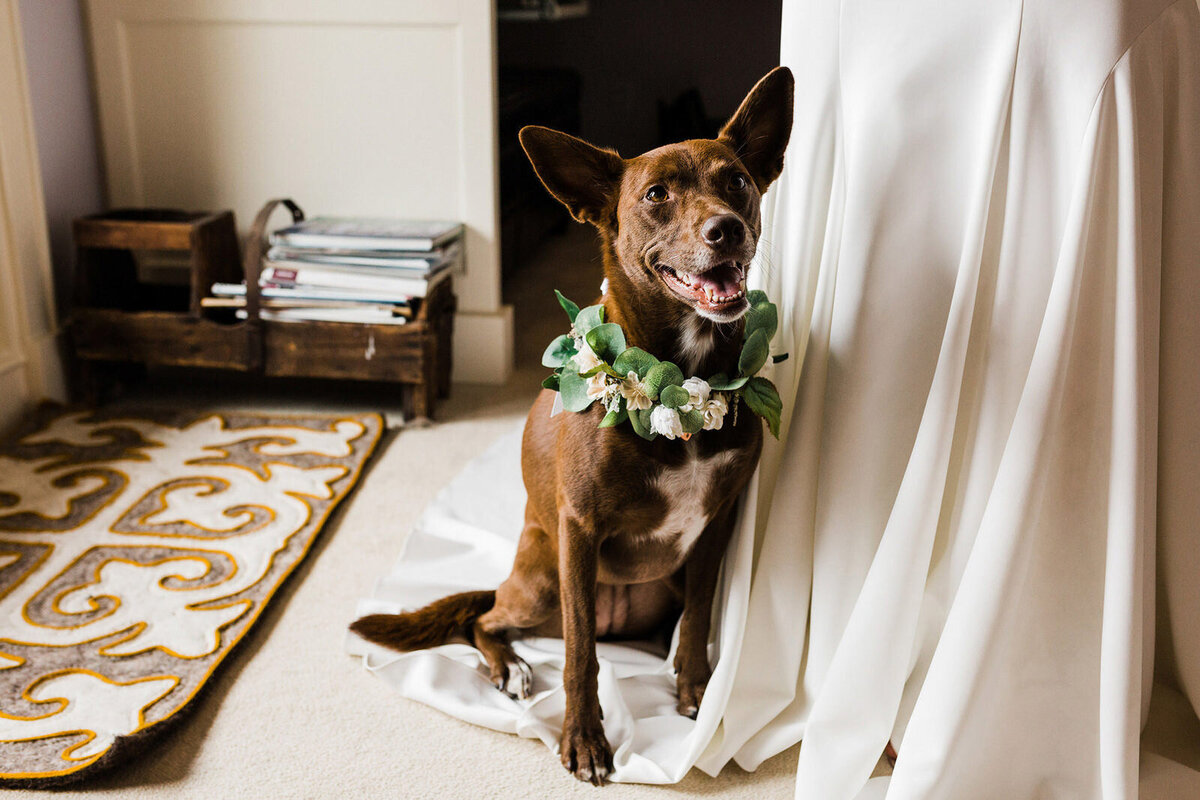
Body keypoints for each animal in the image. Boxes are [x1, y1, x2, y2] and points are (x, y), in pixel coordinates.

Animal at [350, 67, 792, 782]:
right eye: (657, 195)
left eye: (737, 182)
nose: (726, 229)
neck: (683, 379)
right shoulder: (579, 531)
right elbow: (581, 653)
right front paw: (583, 738)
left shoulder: (717, 525)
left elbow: (701, 616)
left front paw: (696, 689)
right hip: (540, 578)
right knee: (488, 621)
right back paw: (511, 669)